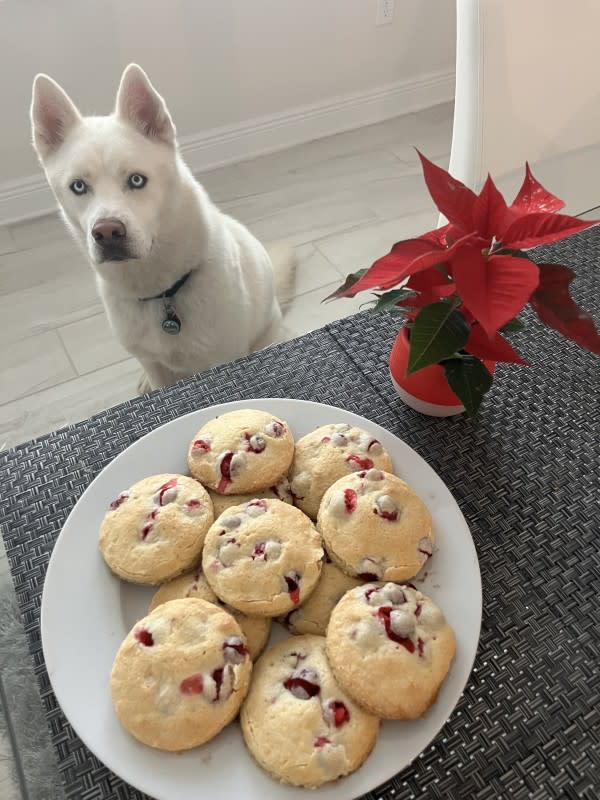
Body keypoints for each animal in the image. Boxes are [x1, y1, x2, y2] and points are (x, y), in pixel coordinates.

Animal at [30, 65, 292, 390]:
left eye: (137, 180)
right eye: (78, 186)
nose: (107, 233)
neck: (161, 293)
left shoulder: (225, 355)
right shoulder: (152, 362)